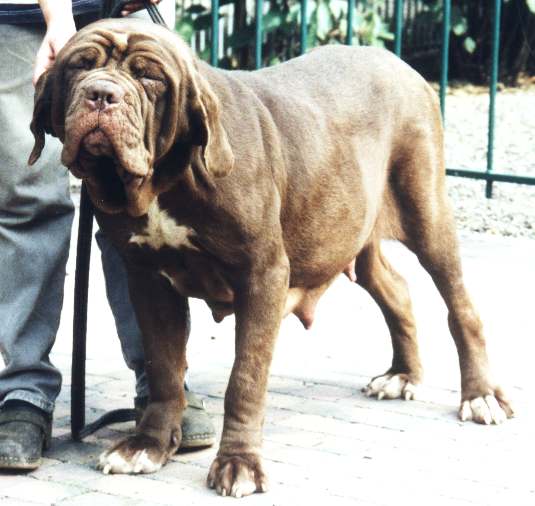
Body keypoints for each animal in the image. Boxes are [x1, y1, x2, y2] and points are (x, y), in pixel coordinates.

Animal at [29, 18, 516, 498]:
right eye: (79, 66)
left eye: (150, 77)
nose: (101, 93)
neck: (165, 181)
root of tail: (399, 63)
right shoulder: (148, 279)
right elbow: (164, 367)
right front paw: (147, 446)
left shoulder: (261, 274)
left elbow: (244, 378)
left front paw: (239, 463)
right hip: (351, 232)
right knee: (395, 289)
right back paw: (402, 374)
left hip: (426, 213)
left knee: (461, 306)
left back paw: (479, 396)